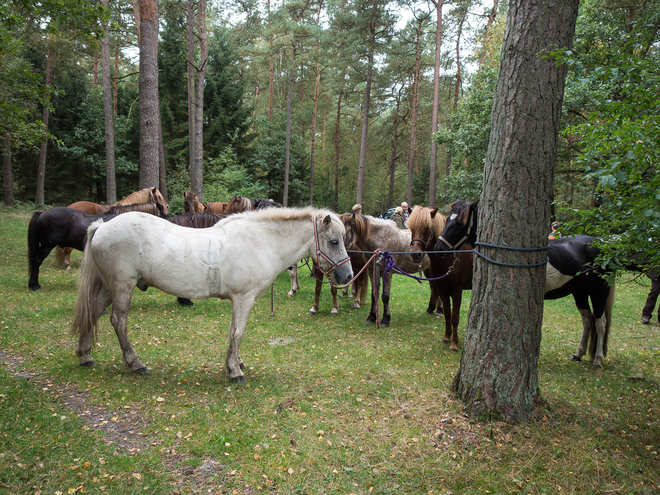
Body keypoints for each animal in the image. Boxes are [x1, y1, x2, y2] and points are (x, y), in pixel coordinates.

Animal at [71, 207, 356, 382]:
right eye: (334, 241)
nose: (347, 277)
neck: (262, 241)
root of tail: (101, 227)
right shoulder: (243, 299)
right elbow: (237, 332)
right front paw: (234, 371)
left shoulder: (239, 301)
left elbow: (234, 333)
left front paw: (237, 362)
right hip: (122, 286)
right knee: (118, 322)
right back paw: (136, 363)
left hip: (110, 288)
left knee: (94, 314)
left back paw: (85, 355)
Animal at [404, 205, 472, 352]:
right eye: (411, 228)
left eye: (427, 228)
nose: (416, 255)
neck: (449, 256)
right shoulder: (442, 288)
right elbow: (447, 314)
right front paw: (446, 338)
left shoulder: (457, 291)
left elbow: (455, 318)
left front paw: (454, 344)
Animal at [436, 200, 616, 370]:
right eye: (447, 220)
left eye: (459, 223)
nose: (438, 248)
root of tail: (603, 244)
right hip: (579, 292)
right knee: (587, 320)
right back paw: (578, 354)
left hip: (599, 292)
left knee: (600, 323)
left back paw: (598, 360)